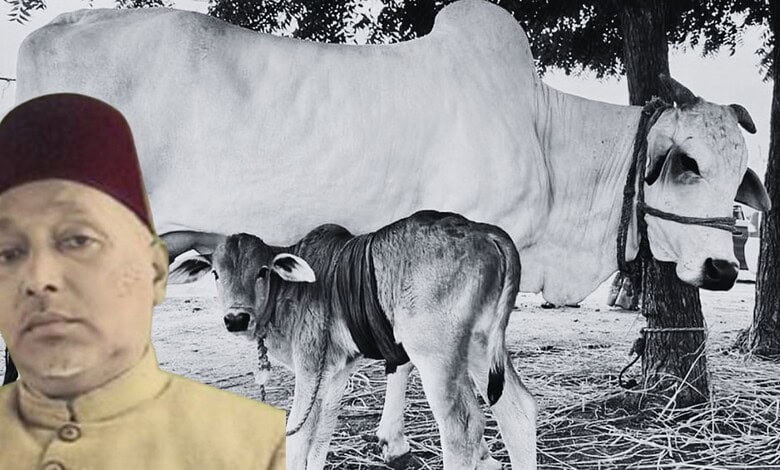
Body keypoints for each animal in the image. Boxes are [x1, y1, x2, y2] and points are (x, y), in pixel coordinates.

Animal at [172, 210, 532, 470]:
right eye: (216, 274)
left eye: (262, 271)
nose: (236, 318)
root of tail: (483, 231)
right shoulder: (334, 372)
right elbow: (320, 438)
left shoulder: (309, 367)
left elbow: (298, 440)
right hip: (480, 345)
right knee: (518, 410)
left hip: (436, 355)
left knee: (462, 426)